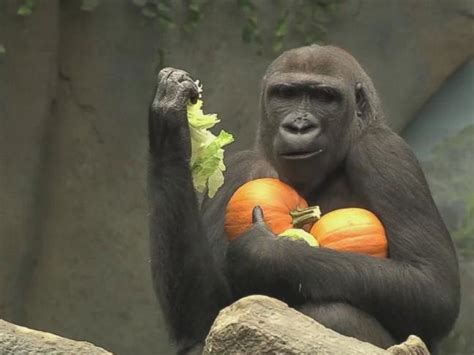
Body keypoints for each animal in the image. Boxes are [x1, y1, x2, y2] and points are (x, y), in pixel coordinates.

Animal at [147, 46, 460, 354]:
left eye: (324, 97)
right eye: (286, 94)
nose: (299, 126)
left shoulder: (384, 152)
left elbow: (432, 287)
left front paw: (264, 252)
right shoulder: (240, 169)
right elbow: (206, 316)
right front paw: (171, 121)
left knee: (336, 314)